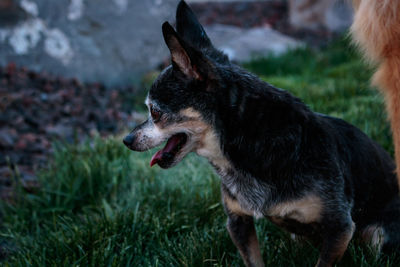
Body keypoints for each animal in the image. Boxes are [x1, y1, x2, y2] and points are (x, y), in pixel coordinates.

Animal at [122, 1, 400, 266]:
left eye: (155, 112)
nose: (126, 139)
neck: (247, 146)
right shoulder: (238, 221)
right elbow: (253, 260)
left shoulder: (340, 226)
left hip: (375, 235)